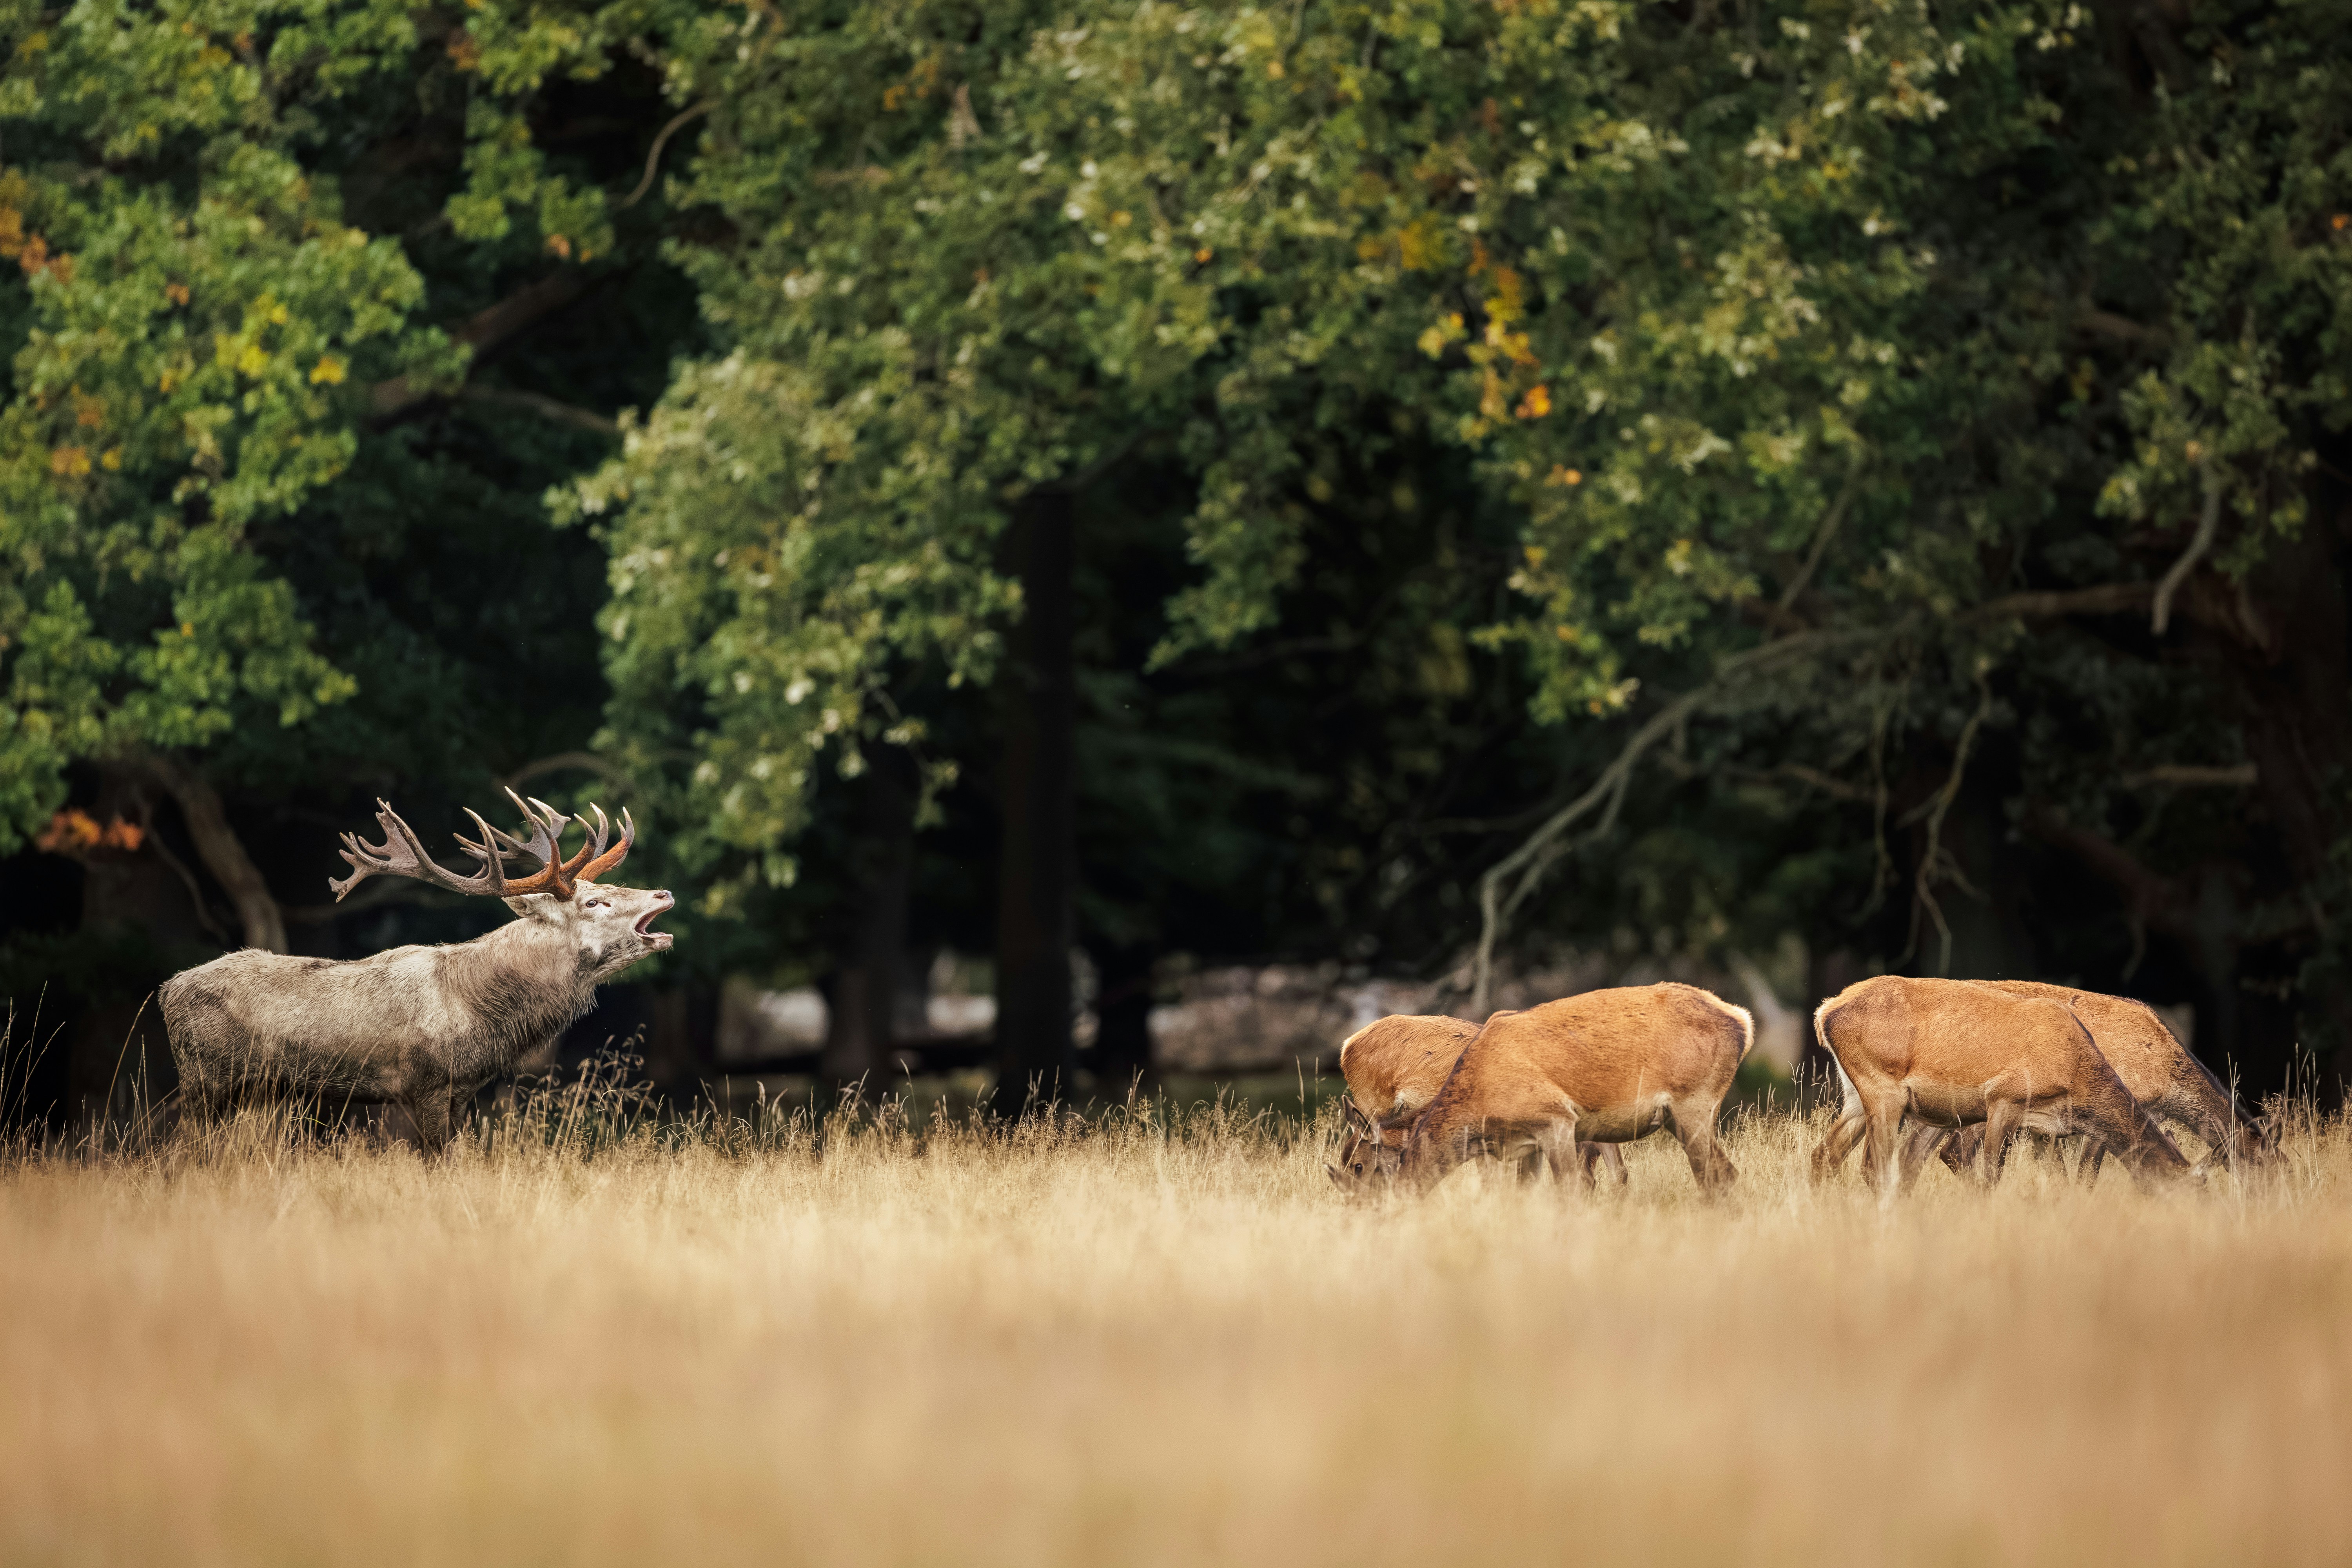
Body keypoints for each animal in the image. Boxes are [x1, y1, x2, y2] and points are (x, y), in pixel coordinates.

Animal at [160, 791, 674, 1153]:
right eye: (594, 902)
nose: (664, 893)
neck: (482, 1016)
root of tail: (167, 990)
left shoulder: (463, 1090)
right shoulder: (424, 1083)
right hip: (204, 1078)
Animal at [1808, 975, 2190, 1198]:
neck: (2076, 1079)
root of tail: (1824, 1012)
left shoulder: (2045, 1128)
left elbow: (2059, 1180)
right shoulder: (2005, 1099)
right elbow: (1990, 1175)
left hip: (1854, 1096)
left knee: (1825, 1154)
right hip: (1883, 1089)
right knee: (1874, 1168)